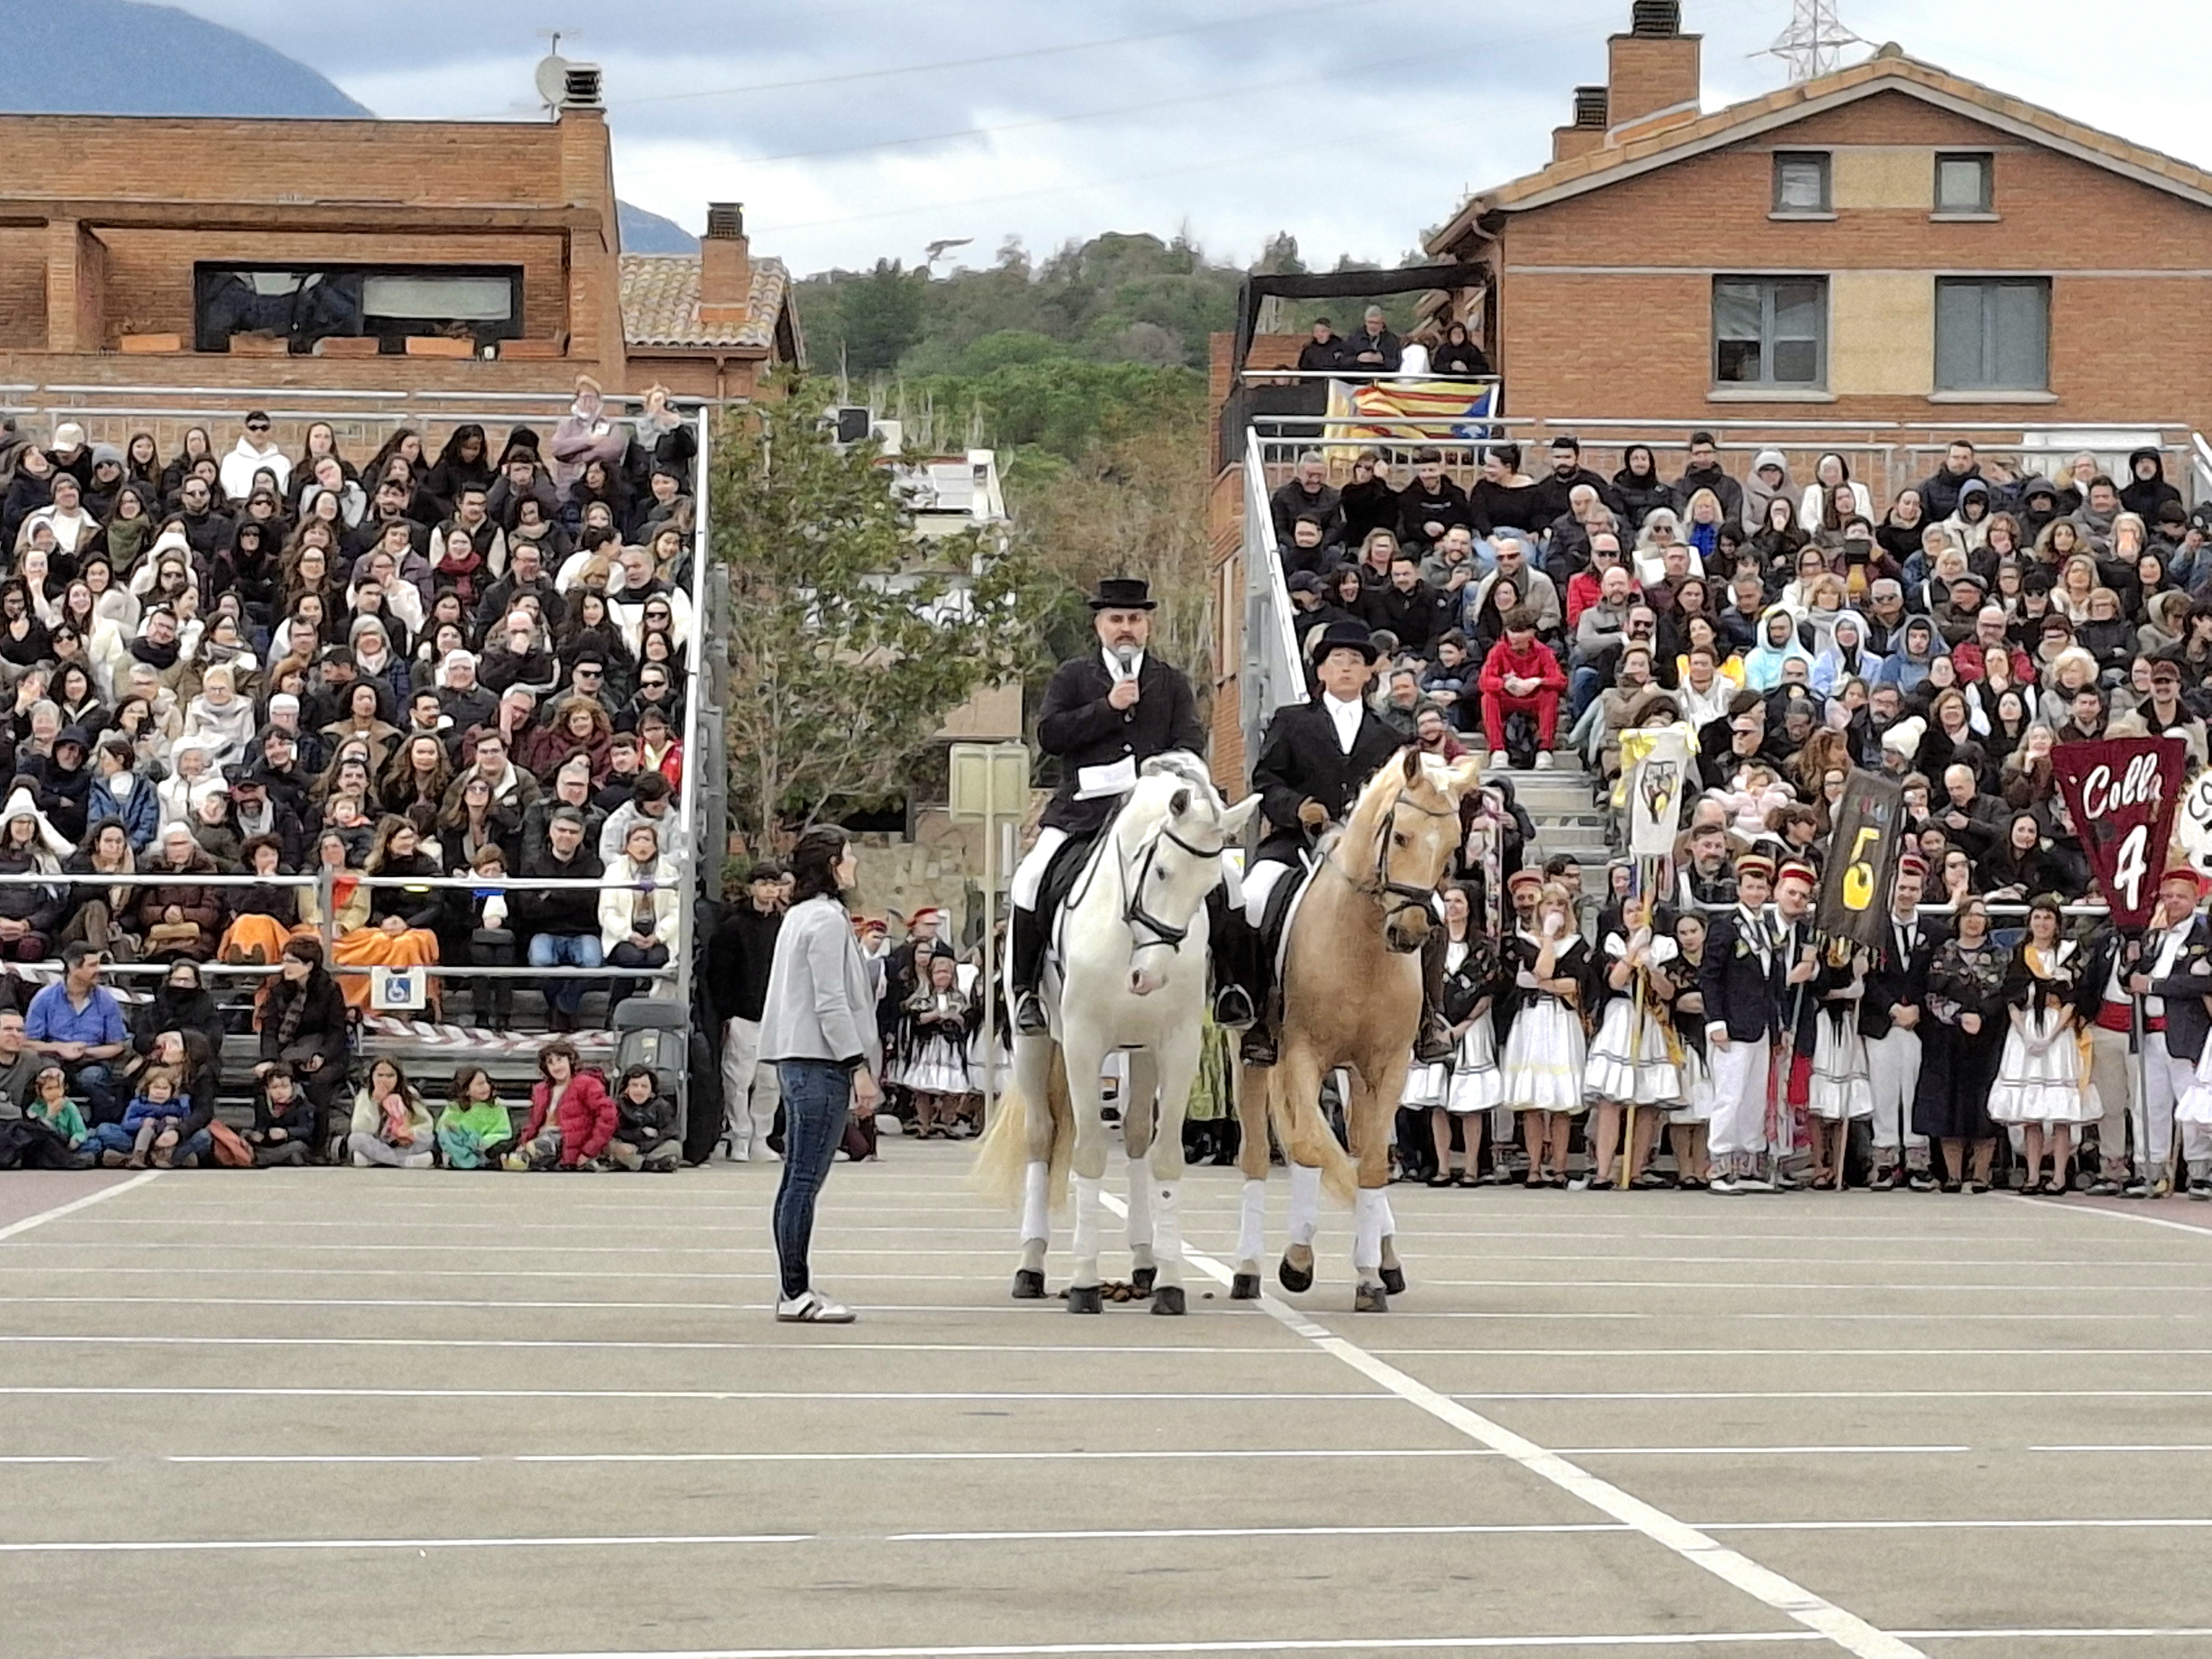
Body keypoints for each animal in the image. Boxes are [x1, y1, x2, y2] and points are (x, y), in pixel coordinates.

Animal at [973, 761, 1256, 1318]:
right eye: (1162, 871)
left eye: (1211, 887)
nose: (1150, 978)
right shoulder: (1084, 1044)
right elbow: (1087, 1155)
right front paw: (1084, 1282)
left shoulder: (1178, 1046)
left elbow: (1165, 1158)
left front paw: (1170, 1283)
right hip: (1035, 1045)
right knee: (1041, 1135)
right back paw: (1031, 1265)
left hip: (1141, 1054)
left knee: (1137, 1137)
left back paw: (1145, 1262)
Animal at [1238, 752, 1477, 1309]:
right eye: (1402, 836)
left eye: (1452, 845)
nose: (1410, 932)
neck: (1362, 945)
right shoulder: (1302, 1057)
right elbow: (1311, 1149)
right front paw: (1298, 1263)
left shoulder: (1386, 1069)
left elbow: (1370, 1163)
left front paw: (1370, 1274)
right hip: (1255, 1058)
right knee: (1257, 1155)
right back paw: (1247, 1271)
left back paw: (1384, 1259)